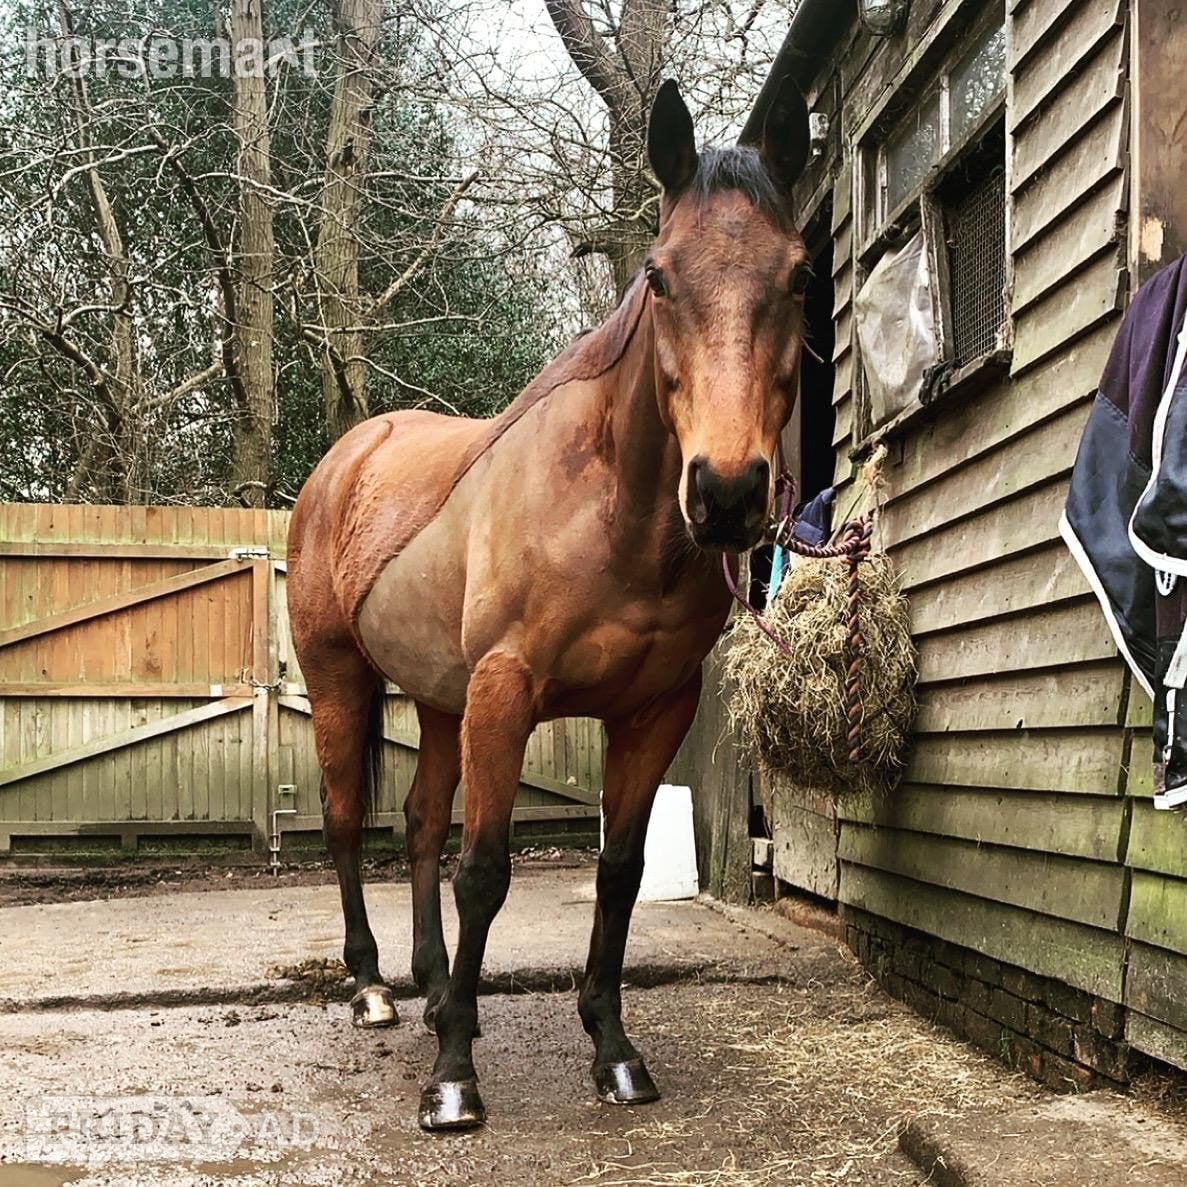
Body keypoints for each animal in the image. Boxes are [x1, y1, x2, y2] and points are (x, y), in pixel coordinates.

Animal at [286, 76, 811, 1131]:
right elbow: (485, 870)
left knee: (416, 820)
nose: (727, 492)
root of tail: (347, 458)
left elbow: (618, 873)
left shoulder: (652, 712)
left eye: (799, 278)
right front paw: (452, 1080)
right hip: (340, 681)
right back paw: (373, 989)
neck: (609, 509)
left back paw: (436, 988)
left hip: (437, 702)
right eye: (659, 277)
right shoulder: (506, 692)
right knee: (344, 818)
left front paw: (613, 1050)